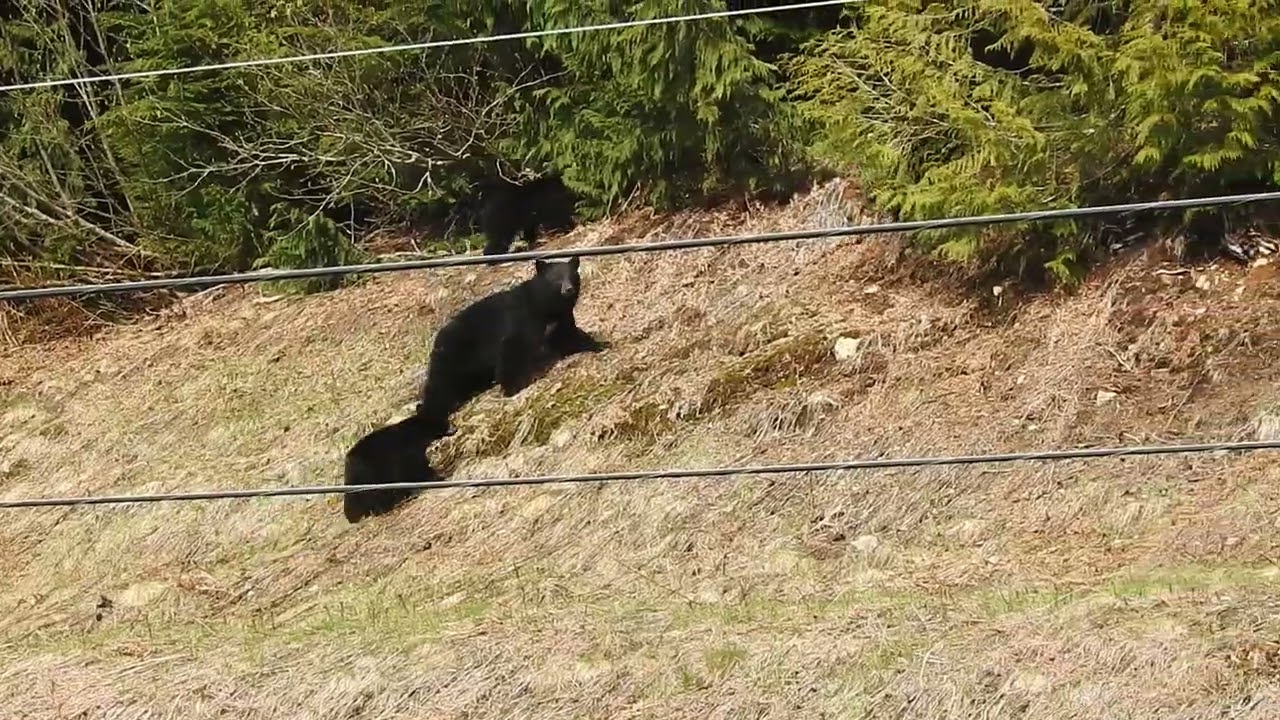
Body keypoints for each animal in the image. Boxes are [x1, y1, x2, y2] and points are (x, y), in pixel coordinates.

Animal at [416, 256, 608, 430]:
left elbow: (573, 337)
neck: (548, 307)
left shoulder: (562, 321)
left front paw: (601, 344)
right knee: (440, 388)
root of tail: (436, 340)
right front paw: (518, 383)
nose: (568, 289)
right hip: (455, 356)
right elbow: (513, 352)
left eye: (572, 275)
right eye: (556, 278)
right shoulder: (520, 322)